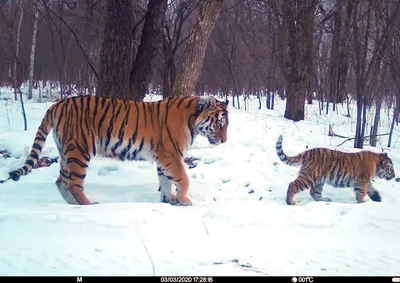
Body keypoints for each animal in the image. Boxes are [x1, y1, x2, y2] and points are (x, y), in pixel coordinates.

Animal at [6, 95, 230, 206]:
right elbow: (183, 179)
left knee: (61, 182)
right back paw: (89, 204)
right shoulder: (171, 155)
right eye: (220, 123)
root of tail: (57, 104)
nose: (224, 140)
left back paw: (73, 205)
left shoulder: (163, 159)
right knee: (74, 184)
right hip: (80, 151)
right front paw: (184, 200)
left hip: (65, 153)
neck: (193, 119)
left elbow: (165, 182)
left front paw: (169, 201)